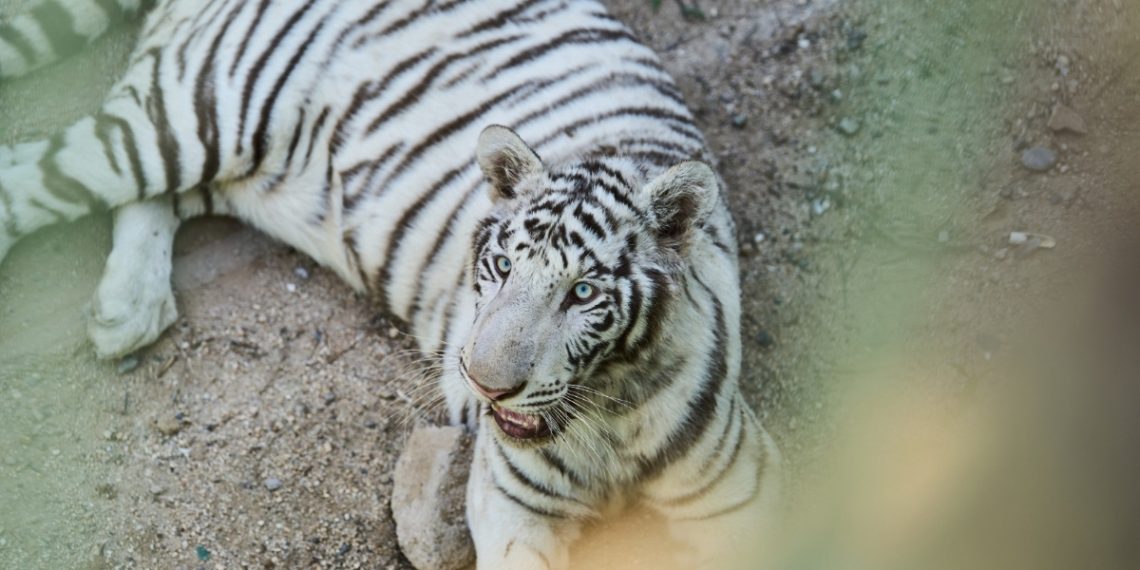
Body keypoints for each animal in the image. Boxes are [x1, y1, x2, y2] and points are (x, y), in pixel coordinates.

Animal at [0, 0, 782, 567]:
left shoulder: (742, 497)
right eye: (501, 267)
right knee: (32, 175)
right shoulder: (510, 502)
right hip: (199, 117)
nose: (485, 384)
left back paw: (126, 308)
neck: (611, 420)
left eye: (583, 294)